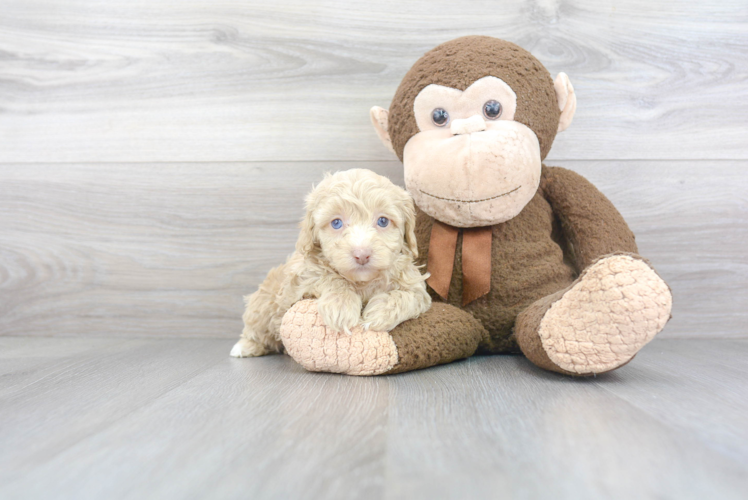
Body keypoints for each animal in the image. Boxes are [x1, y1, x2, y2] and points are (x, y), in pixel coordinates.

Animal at [229, 170, 432, 358]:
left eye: (382, 221)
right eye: (336, 223)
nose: (362, 255)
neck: (363, 282)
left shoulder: (415, 287)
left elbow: (409, 296)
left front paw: (380, 312)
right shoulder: (301, 279)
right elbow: (327, 276)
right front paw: (341, 306)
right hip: (263, 304)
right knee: (256, 326)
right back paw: (245, 346)